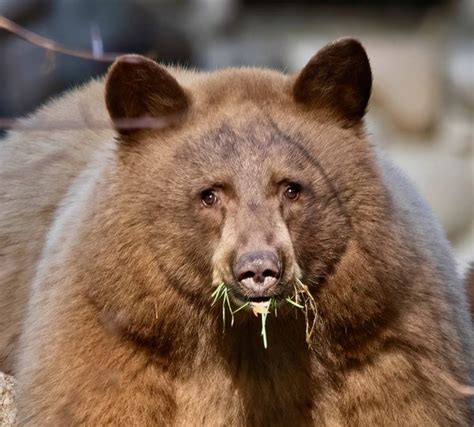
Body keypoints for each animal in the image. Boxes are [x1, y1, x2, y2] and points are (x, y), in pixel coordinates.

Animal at [0, 38, 472, 426]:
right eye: (209, 193)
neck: (249, 336)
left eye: (291, 187)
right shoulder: (112, 332)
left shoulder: (389, 339)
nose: (258, 268)